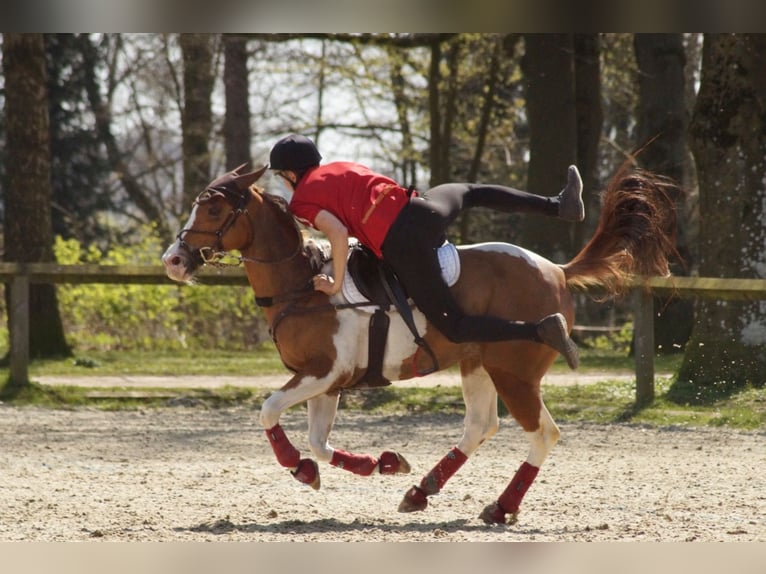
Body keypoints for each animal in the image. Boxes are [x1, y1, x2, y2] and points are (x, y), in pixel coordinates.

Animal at [160, 163, 680, 528]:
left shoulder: (322, 373)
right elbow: (320, 443)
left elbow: (270, 411)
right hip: (478, 364)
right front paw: (377, 464)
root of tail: (557, 271)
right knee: (480, 426)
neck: (301, 283)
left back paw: (499, 505)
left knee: (542, 433)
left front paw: (299, 469)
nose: (173, 260)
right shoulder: (328, 383)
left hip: (514, 373)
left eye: (211, 209)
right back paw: (422, 490)